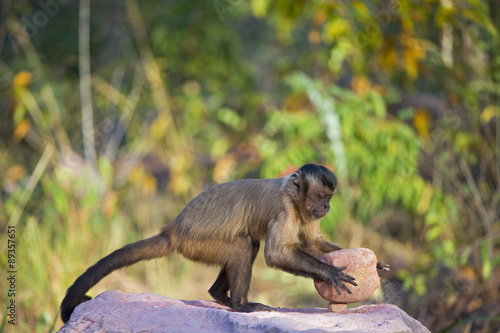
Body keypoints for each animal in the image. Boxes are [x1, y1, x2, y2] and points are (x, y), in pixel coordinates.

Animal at [60, 163, 384, 322]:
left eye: (328, 199)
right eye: (320, 197)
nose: (326, 208)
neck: (293, 196)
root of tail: (174, 228)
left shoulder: (304, 214)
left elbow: (313, 245)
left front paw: (376, 264)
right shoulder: (285, 208)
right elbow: (276, 255)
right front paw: (329, 273)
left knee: (248, 246)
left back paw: (219, 296)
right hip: (197, 243)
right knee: (244, 245)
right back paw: (240, 305)